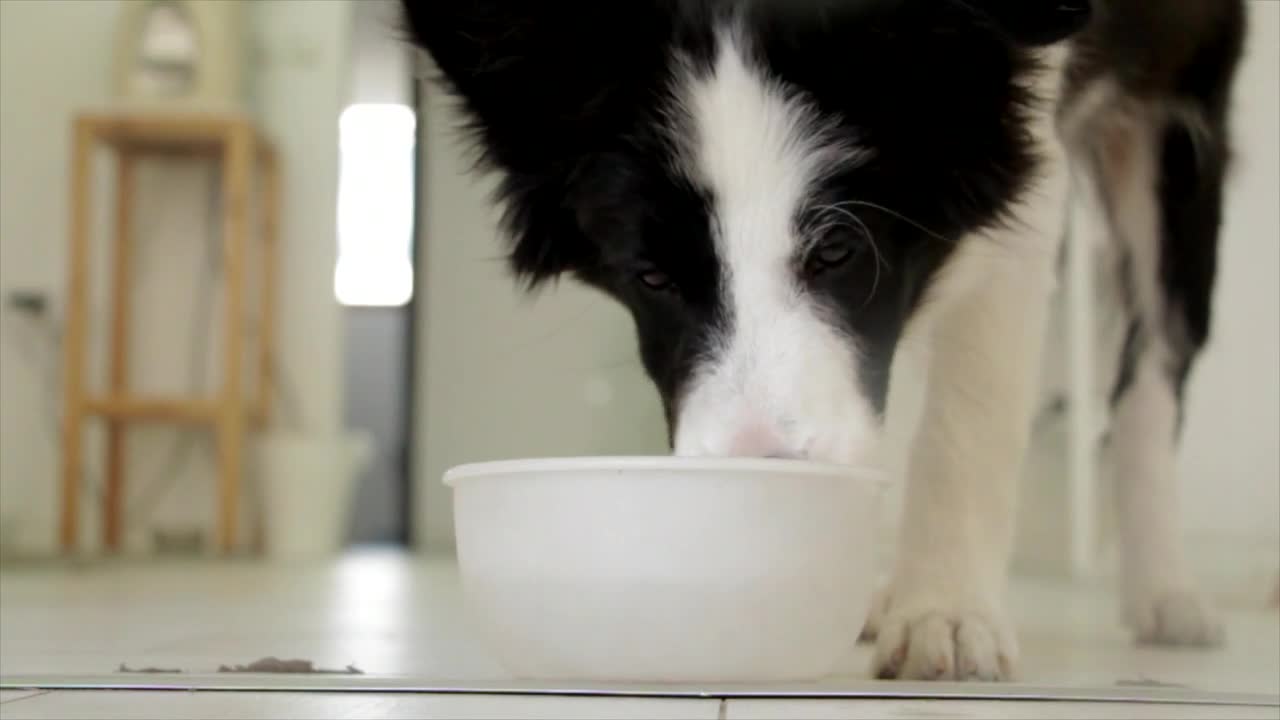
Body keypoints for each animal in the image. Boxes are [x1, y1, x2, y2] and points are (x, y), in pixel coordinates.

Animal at [401, 0, 1249, 676]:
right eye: (652, 276)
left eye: (839, 251)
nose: (763, 482)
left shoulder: (1016, 143)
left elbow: (971, 409)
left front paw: (946, 613)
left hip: (1175, 127)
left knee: (1152, 370)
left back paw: (1166, 593)